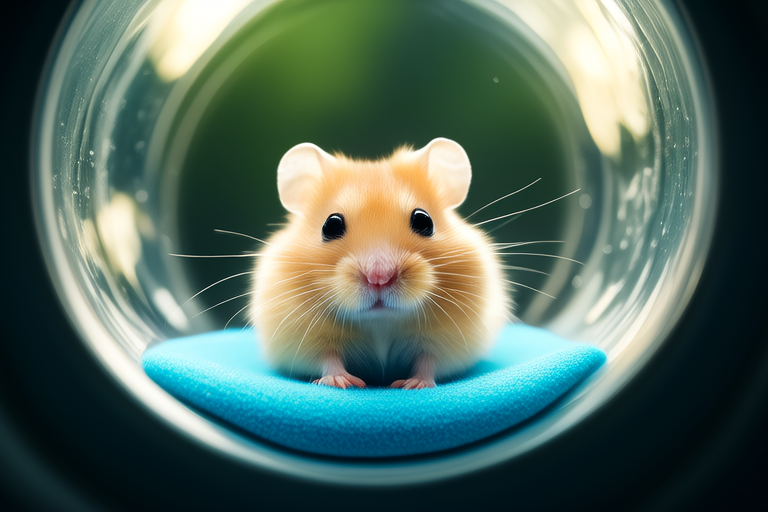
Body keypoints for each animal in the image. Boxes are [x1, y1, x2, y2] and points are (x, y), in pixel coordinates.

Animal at [249, 138, 510, 389]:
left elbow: (428, 361)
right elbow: (328, 358)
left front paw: (412, 385)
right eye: (330, 225)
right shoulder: (302, 339)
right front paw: (344, 382)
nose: (379, 277)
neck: (380, 322)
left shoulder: (447, 342)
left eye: (424, 220)